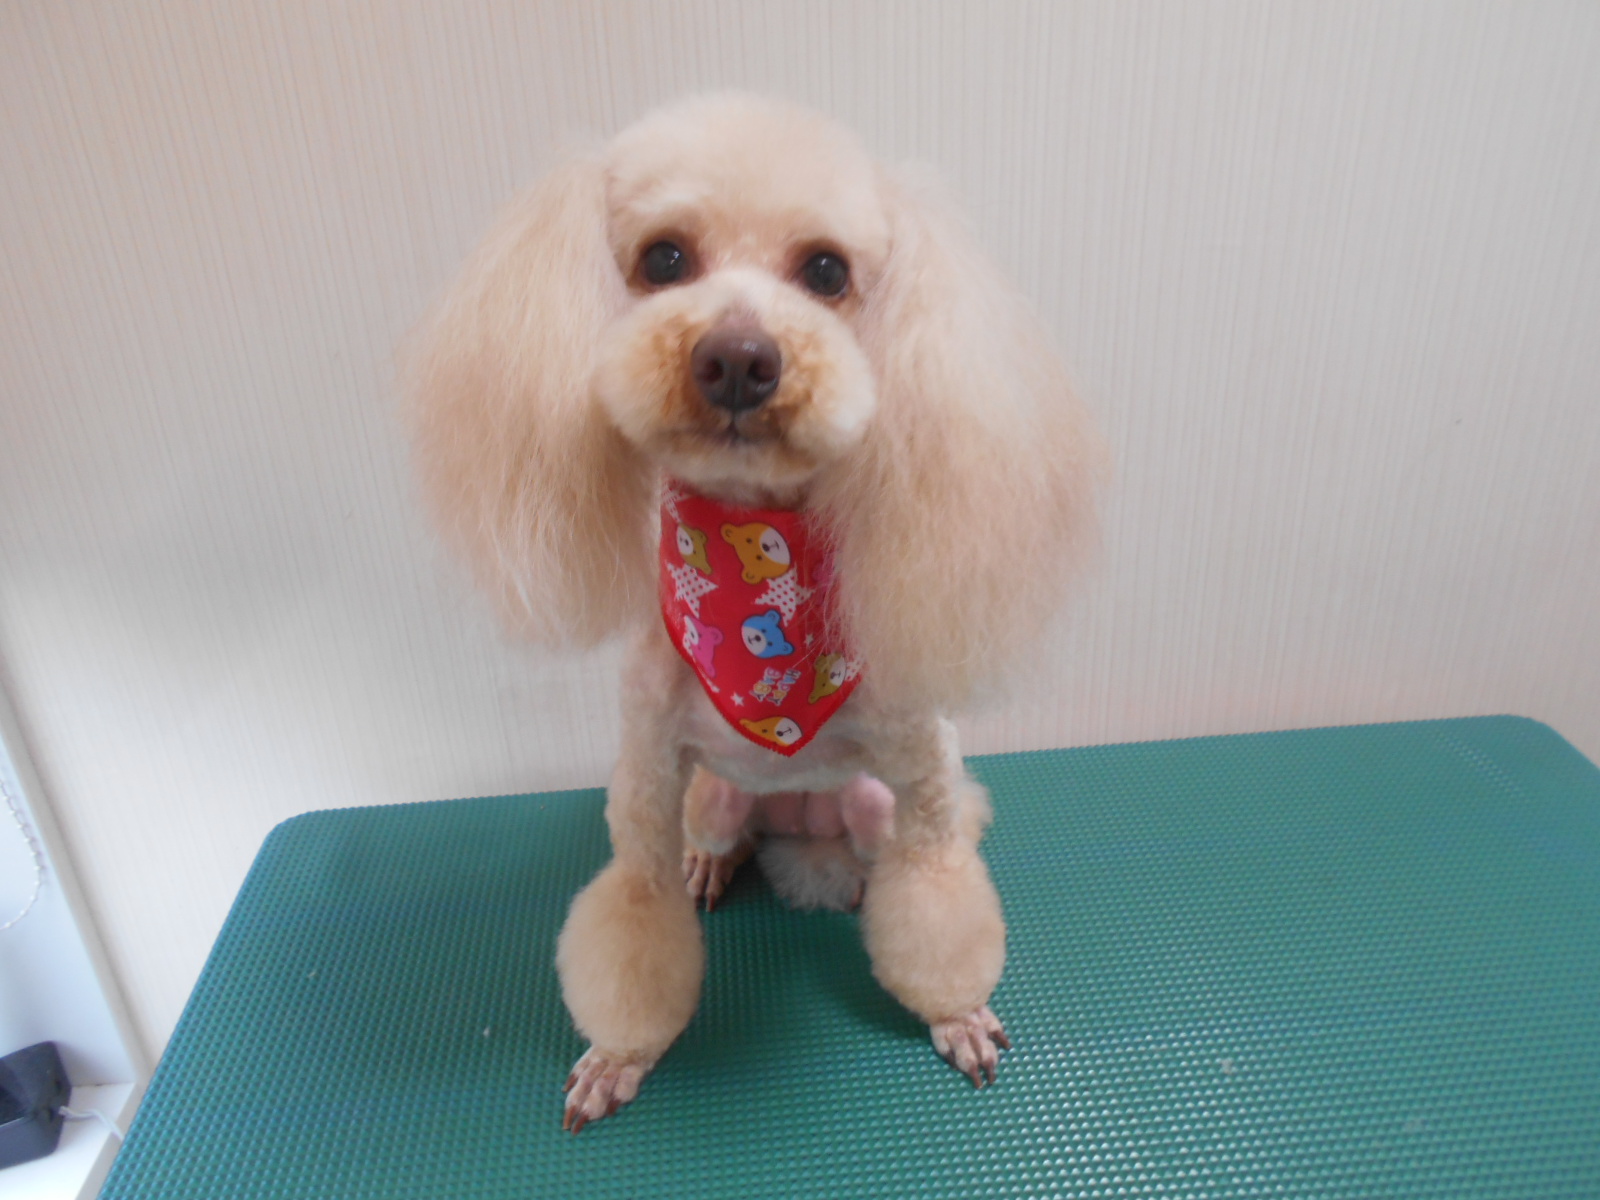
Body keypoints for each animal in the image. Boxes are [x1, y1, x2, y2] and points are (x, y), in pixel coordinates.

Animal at [406, 93, 1103, 1131]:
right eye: (664, 259)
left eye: (826, 272)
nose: (737, 357)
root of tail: (799, 823)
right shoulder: (648, 779)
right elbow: (637, 910)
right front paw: (618, 1054)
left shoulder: (922, 787)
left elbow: (937, 891)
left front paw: (956, 1012)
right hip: (715, 795)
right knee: (715, 834)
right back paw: (714, 866)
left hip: (869, 804)